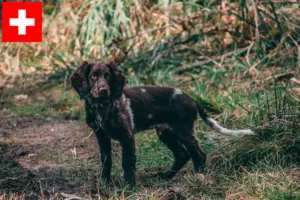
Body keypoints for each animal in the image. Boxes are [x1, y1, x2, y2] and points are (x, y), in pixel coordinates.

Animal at [70, 61, 253, 184]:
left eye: (108, 77)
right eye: (93, 76)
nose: (103, 90)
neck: (102, 106)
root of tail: (192, 99)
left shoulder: (127, 135)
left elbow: (127, 162)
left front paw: (129, 186)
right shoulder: (101, 135)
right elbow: (106, 160)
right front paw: (104, 183)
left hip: (183, 130)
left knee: (198, 153)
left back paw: (198, 176)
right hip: (166, 133)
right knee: (182, 154)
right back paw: (166, 175)